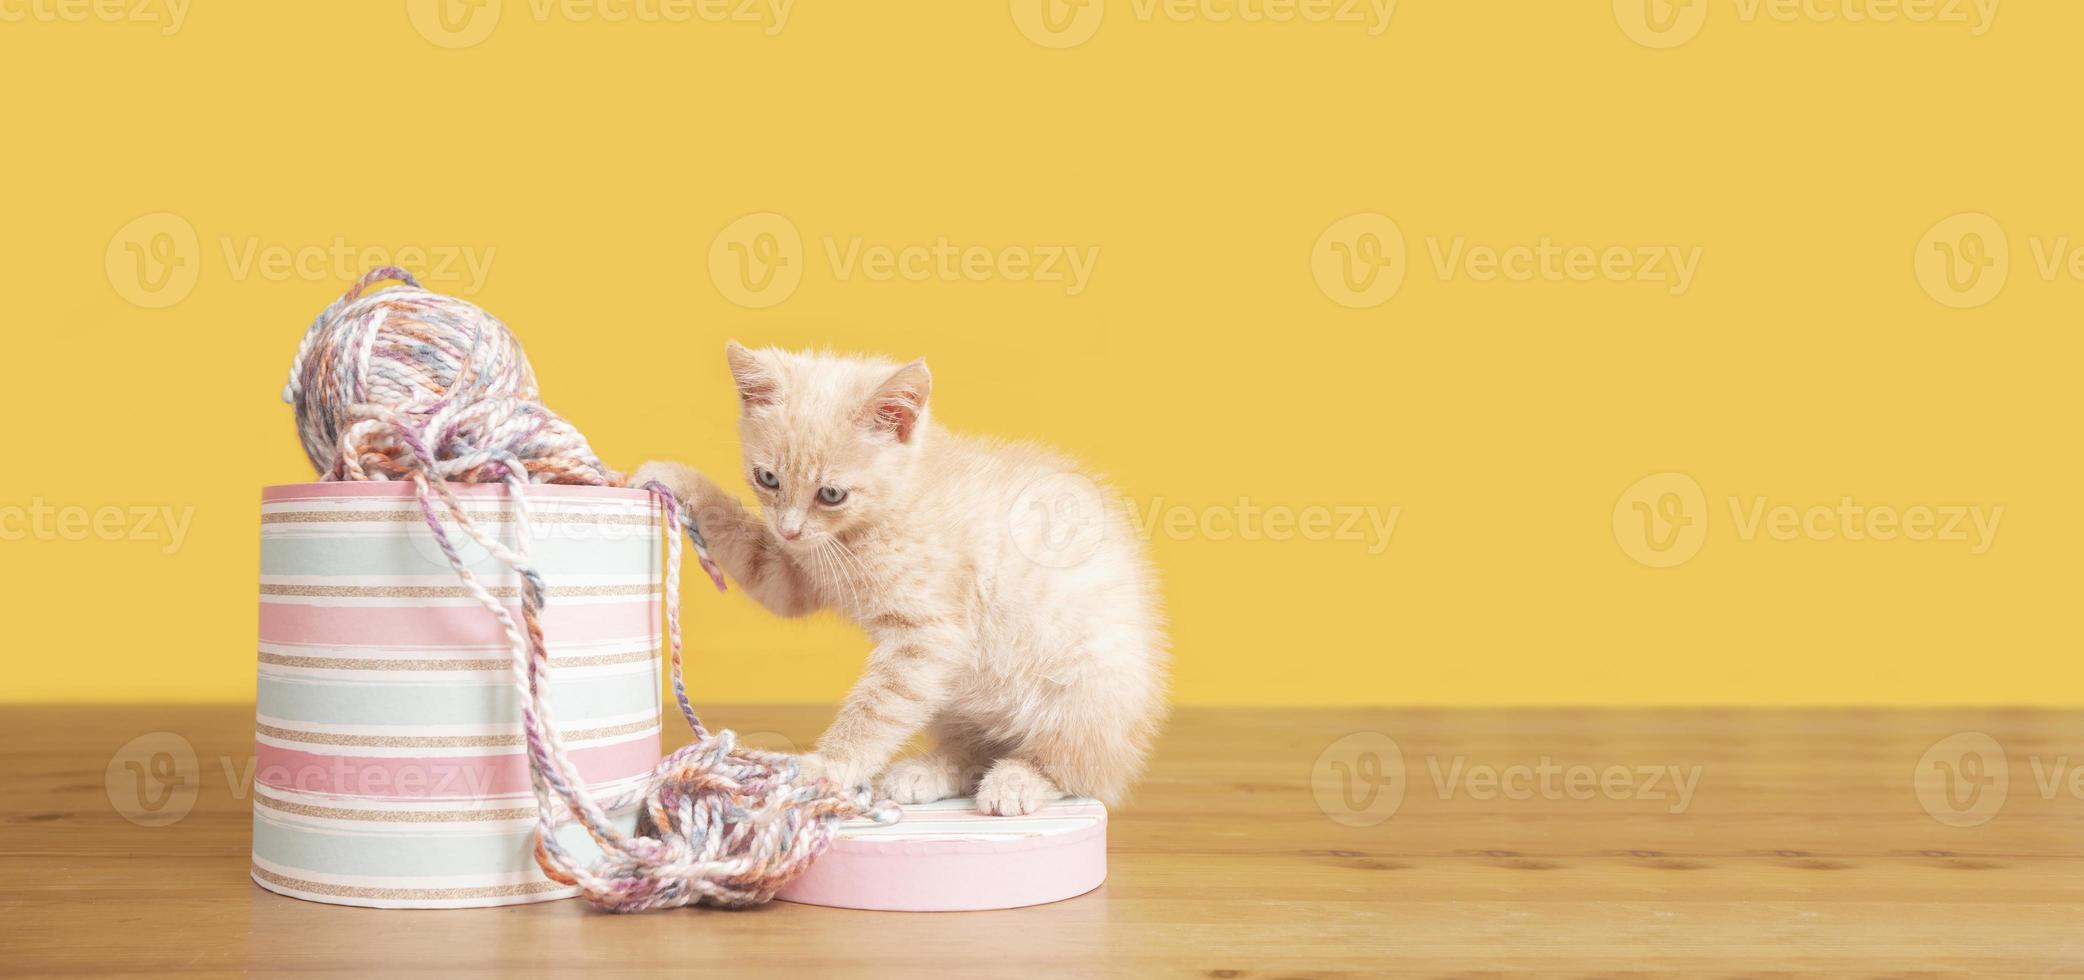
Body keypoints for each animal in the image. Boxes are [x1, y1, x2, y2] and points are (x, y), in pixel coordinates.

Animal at [625, 344, 1167, 817]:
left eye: (831, 493)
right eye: (768, 479)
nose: (790, 529)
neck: (879, 517)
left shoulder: (927, 637)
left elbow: (878, 709)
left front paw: (828, 767)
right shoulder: (794, 574)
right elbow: (753, 550)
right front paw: (674, 476)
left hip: (1084, 690)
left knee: (1077, 769)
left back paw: (1017, 781)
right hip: (959, 699)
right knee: (976, 748)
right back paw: (929, 771)